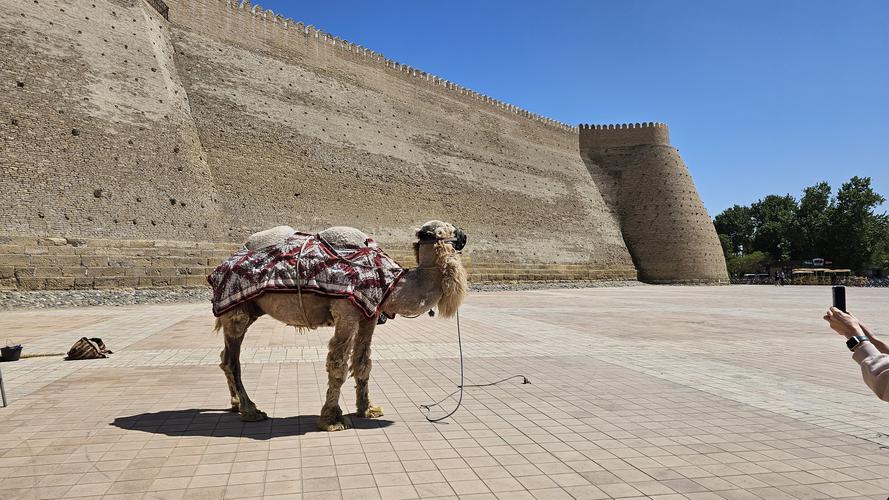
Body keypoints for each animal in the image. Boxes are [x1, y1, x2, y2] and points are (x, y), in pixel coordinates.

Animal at [213, 220, 468, 431]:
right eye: (442, 230)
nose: (464, 236)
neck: (391, 284)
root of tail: (222, 265)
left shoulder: (369, 316)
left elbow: (363, 363)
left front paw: (368, 409)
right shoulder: (346, 313)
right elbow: (338, 366)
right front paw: (332, 418)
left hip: (248, 309)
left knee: (225, 357)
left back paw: (236, 404)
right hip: (236, 311)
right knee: (232, 361)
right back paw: (251, 411)